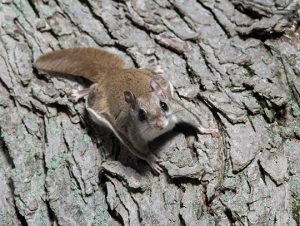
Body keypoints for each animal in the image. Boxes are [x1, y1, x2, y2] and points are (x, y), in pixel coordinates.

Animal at [35, 48, 219, 175]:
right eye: (141, 115)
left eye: (164, 105)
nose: (160, 124)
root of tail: (113, 74)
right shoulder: (130, 132)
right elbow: (139, 149)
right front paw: (151, 160)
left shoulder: (177, 109)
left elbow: (192, 118)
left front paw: (207, 129)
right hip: (98, 99)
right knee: (92, 89)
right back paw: (80, 93)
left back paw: (154, 67)